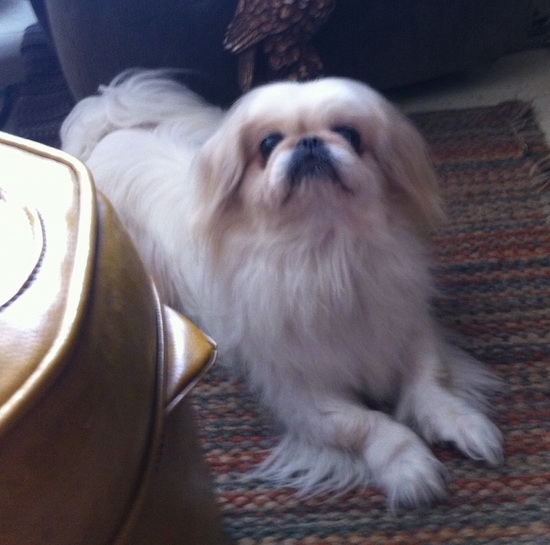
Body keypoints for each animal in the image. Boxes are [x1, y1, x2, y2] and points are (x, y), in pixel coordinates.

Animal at [61, 70, 504, 508]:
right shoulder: (304, 393)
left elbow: (431, 384)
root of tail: (108, 131)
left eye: (349, 134)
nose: (309, 141)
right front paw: (411, 469)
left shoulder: (406, 327)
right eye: (268, 144)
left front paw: (464, 425)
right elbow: (368, 425)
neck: (327, 254)